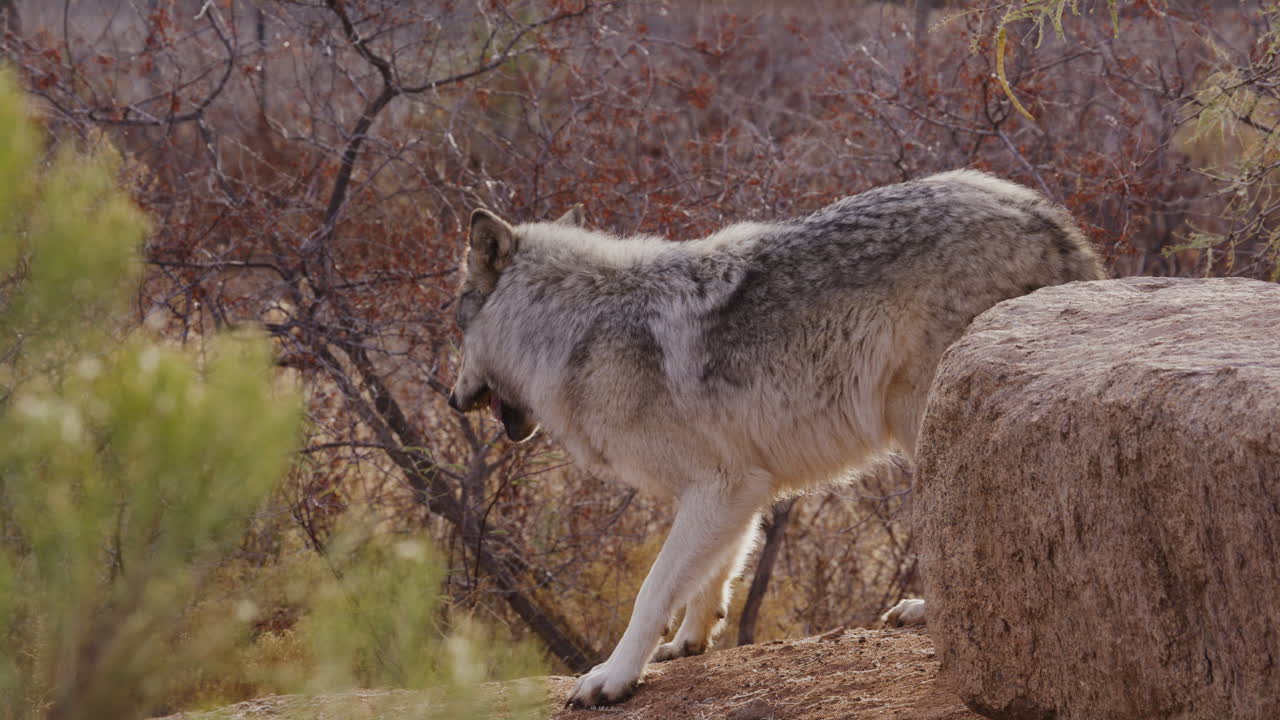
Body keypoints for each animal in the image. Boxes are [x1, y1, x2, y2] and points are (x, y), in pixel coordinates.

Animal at [448, 170, 1105, 707]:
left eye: (456, 325)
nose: (451, 400)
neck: (576, 330)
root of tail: (1046, 216)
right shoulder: (738, 490)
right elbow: (713, 575)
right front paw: (689, 640)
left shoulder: (721, 485)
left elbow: (651, 591)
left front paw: (612, 678)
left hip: (925, 423)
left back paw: (929, 611)